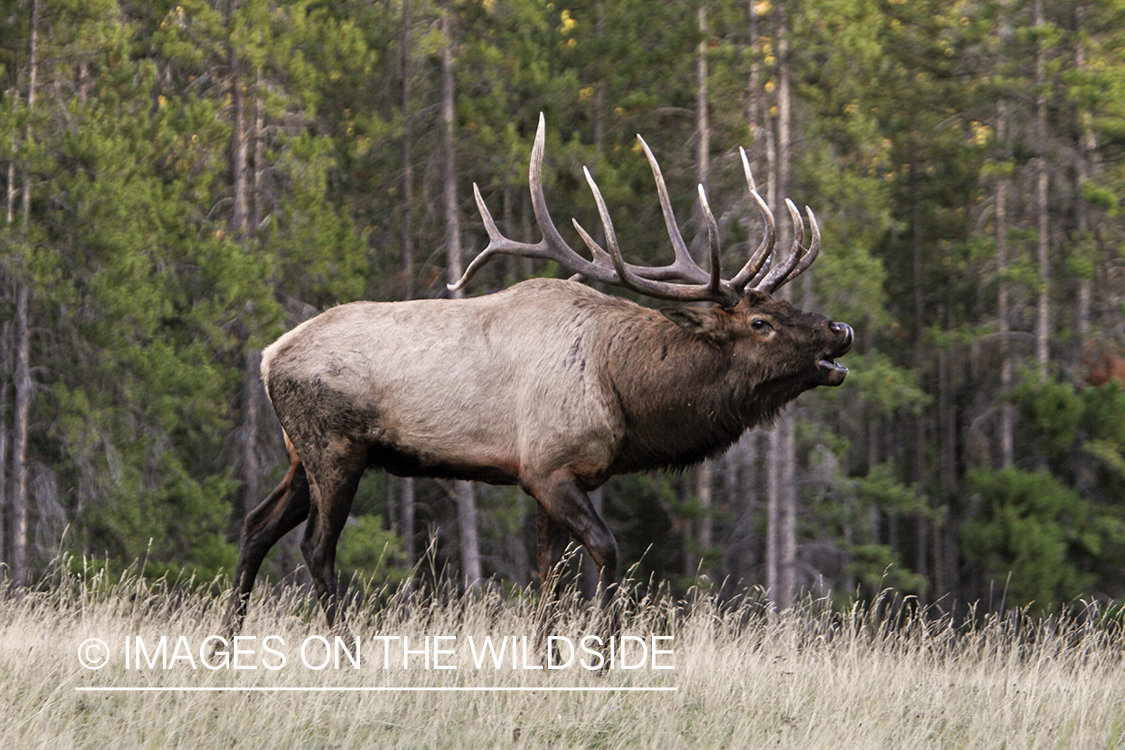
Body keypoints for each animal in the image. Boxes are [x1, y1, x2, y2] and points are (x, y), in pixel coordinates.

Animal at [220, 114, 853, 642]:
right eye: (760, 322)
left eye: (787, 305)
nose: (840, 329)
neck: (625, 394)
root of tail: (269, 356)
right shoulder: (549, 468)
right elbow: (605, 551)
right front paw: (601, 654)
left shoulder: (553, 476)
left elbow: (549, 575)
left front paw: (547, 659)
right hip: (335, 448)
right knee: (315, 547)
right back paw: (346, 650)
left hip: (300, 456)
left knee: (254, 526)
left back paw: (224, 647)